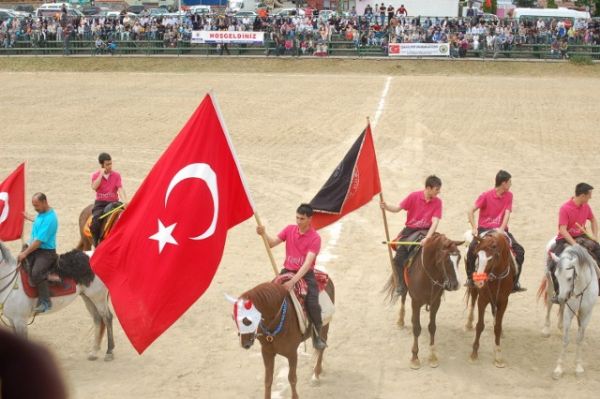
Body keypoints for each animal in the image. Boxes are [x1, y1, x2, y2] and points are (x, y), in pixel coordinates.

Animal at [384, 234, 464, 372]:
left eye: (459, 258)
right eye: (446, 260)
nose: (455, 285)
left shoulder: (436, 302)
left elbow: (432, 327)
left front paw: (432, 357)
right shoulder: (416, 302)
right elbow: (417, 328)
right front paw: (415, 358)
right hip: (404, 286)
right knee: (403, 297)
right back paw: (400, 320)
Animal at [464, 231, 516, 368]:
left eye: (491, 258)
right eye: (477, 256)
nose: (479, 281)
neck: (496, 277)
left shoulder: (503, 302)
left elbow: (497, 327)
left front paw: (498, 356)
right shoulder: (482, 299)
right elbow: (480, 325)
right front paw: (474, 354)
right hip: (474, 290)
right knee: (472, 300)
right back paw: (468, 323)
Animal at [552, 245, 596, 380]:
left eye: (569, 278)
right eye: (556, 276)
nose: (560, 299)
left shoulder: (586, 314)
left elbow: (579, 339)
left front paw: (578, 367)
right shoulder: (569, 312)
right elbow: (566, 339)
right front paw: (559, 368)